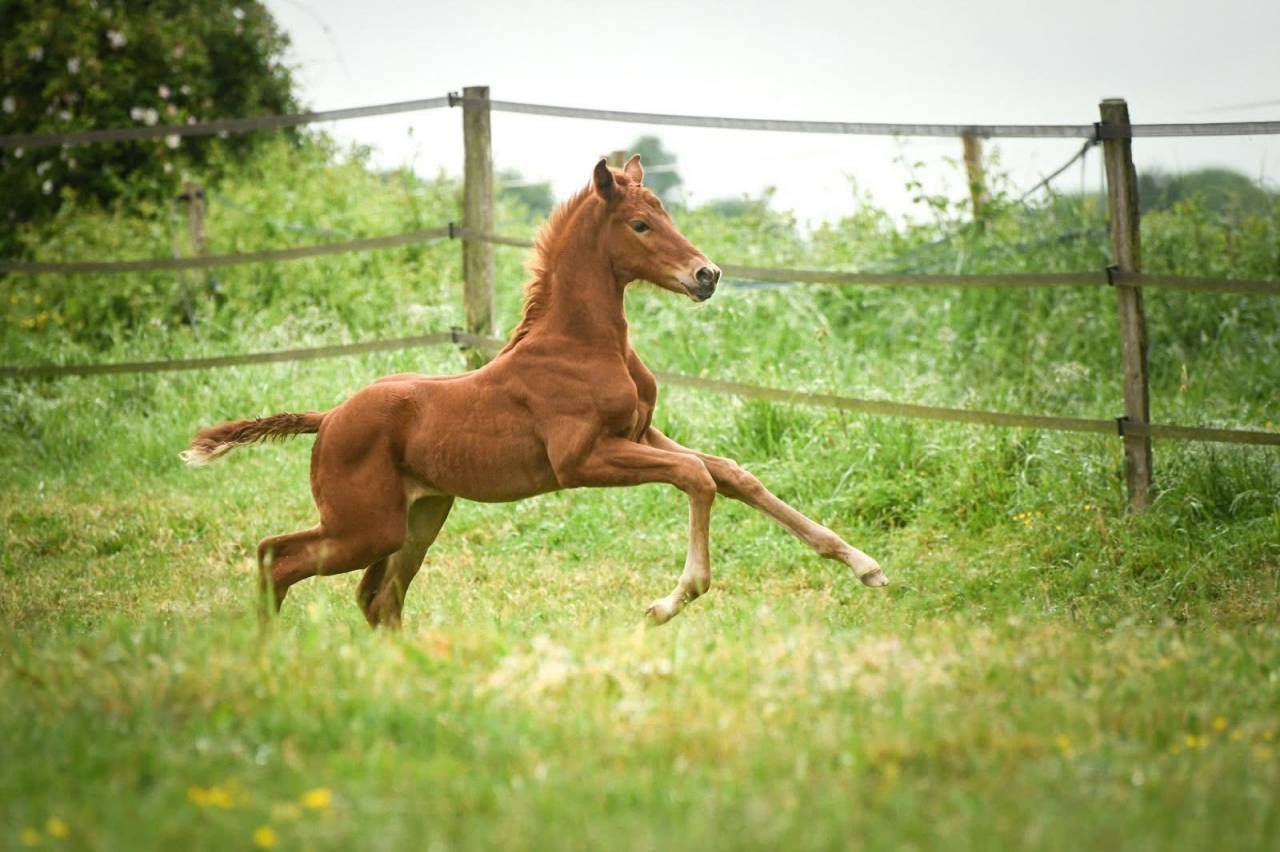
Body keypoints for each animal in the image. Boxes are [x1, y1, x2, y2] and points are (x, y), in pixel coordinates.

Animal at [183, 155, 887, 628]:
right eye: (639, 225)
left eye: (666, 215)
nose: (707, 275)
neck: (583, 344)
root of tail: (328, 418)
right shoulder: (581, 460)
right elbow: (696, 476)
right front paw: (669, 602)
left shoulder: (640, 431)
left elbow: (732, 474)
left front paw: (864, 566)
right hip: (364, 526)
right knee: (277, 557)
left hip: (417, 519)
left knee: (376, 598)